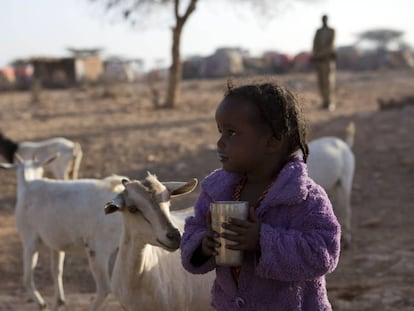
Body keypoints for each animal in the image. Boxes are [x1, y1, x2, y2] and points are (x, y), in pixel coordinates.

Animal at [0, 157, 127, 311]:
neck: (28, 186)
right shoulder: (57, 246)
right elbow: (56, 271)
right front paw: (59, 302)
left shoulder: (30, 242)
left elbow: (27, 278)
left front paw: (42, 304)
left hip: (97, 250)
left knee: (105, 288)